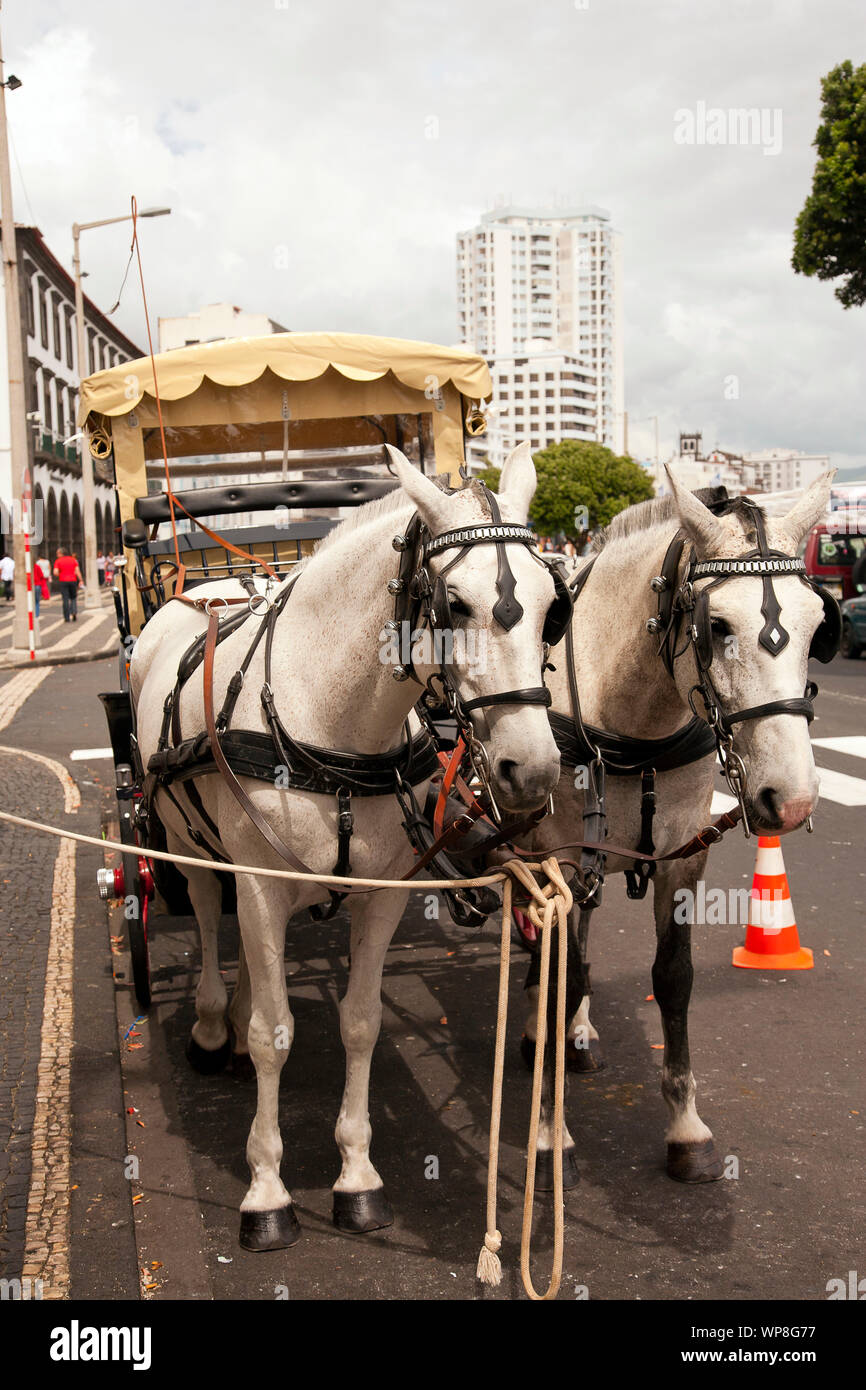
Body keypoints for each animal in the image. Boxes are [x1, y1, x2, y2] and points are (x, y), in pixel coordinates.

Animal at [129, 442, 564, 1251]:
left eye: (555, 608)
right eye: (455, 605)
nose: (535, 769)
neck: (333, 719)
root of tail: (208, 588)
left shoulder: (380, 893)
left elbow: (360, 1024)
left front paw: (357, 1178)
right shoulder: (260, 883)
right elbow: (276, 1032)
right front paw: (267, 1191)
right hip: (181, 836)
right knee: (205, 911)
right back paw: (212, 1023)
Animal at [523, 468, 838, 1188]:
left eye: (817, 627)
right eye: (715, 625)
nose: (793, 801)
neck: (633, 715)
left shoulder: (681, 857)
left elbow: (673, 976)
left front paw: (685, 1128)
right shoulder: (560, 853)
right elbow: (563, 971)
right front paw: (553, 1133)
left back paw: (576, 1034)